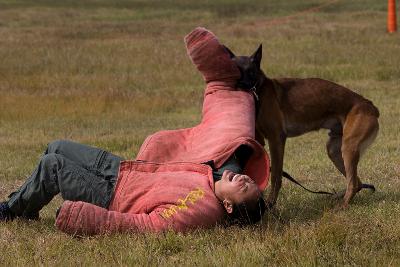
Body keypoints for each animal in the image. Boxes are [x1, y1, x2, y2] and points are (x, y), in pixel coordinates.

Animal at [225, 45, 378, 209]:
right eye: (235, 71)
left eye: (251, 71)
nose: (242, 85)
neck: (259, 91)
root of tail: (370, 105)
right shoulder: (260, 142)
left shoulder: (276, 140)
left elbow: (276, 175)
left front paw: (271, 204)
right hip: (335, 149)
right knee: (357, 182)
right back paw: (336, 197)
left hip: (348, 148)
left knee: (354, 183)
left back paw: (341, 205)